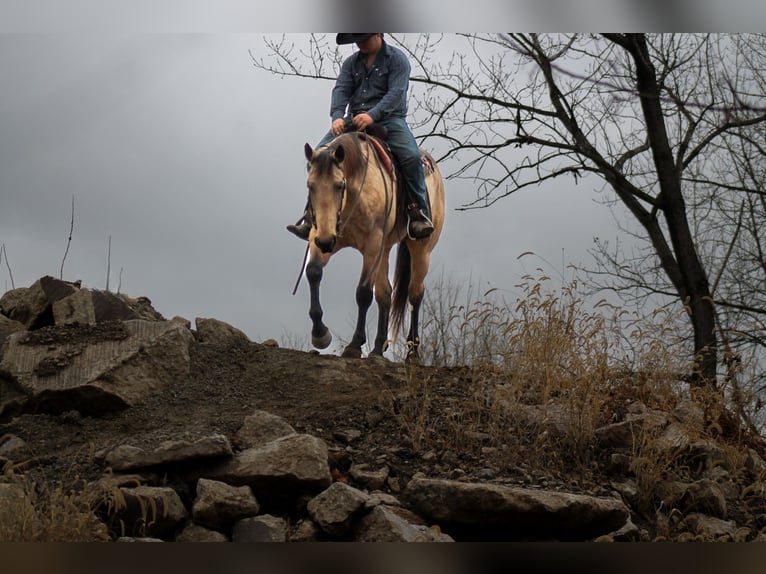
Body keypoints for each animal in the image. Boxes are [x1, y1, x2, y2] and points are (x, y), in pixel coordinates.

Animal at [301, 131, 445, 361]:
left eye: (339, 185)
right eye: (310, 186)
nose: (324, 241)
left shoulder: (372, 245)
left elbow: (363, 293)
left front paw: (353, 345)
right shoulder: (322, 236)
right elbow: (313, 272)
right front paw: (320, 334)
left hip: (421, 249)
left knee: (415, 293)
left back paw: (412, 352)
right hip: (383, 250)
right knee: (385, 294)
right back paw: (378, 349)